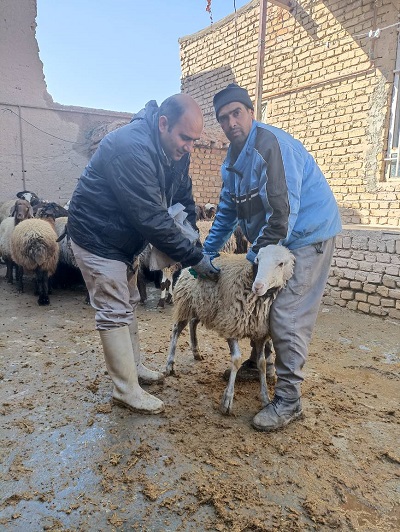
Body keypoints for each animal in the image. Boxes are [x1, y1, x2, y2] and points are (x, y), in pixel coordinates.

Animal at [165, 245, 295, 415]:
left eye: (281, 264)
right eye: (257, 260)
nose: (258, 286)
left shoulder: (260, 333)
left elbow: (261, 363)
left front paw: (265, 398)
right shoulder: (231, 325)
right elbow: (236, 360)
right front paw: (227, 400)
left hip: (204, 307)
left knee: (193, 323)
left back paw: (196, 352)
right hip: (186, 303)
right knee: (176, 330)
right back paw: (169, 364)